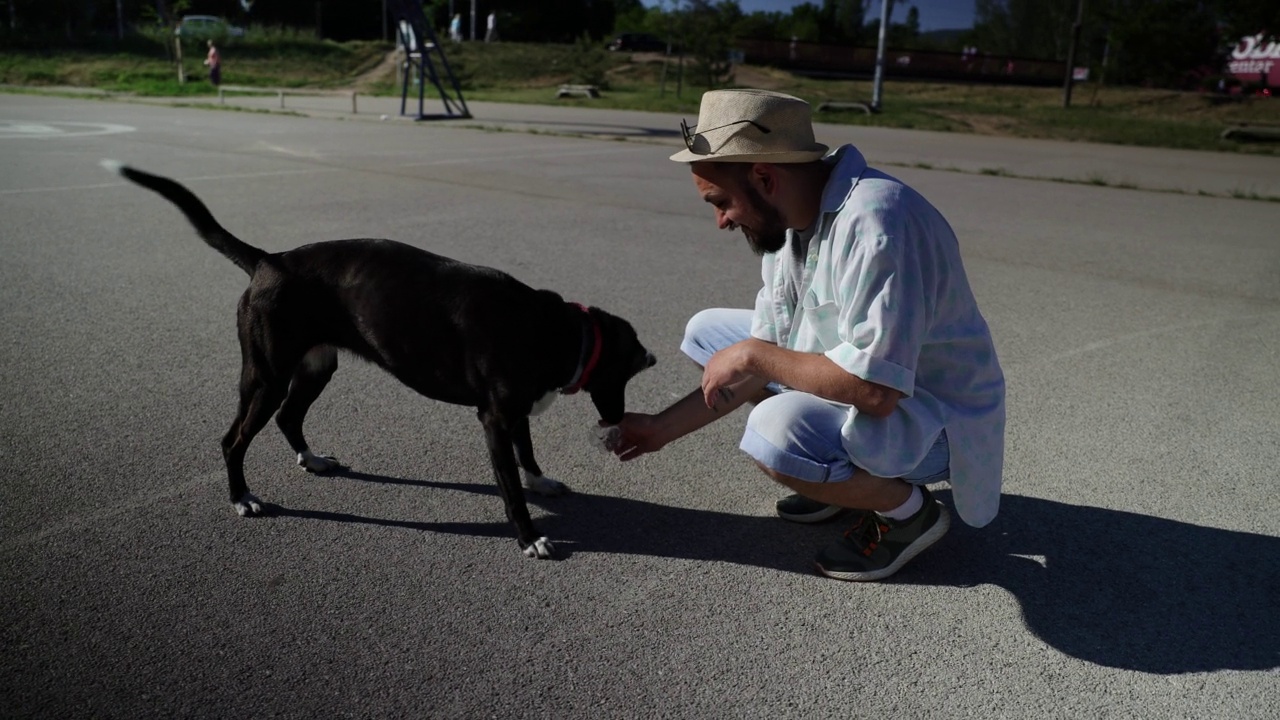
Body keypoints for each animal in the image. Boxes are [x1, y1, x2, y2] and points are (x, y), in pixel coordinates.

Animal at [103, 159, 655, 558]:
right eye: (628, 368)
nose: (652, 359)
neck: (554, 328)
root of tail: (269, 260)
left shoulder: (516, 412)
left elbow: (528, 453)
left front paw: (540, 480)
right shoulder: (496, 418)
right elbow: (511, 487)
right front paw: (529, 537)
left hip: (316, 366)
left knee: (289, 416)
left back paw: (310, 459)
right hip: (266, 375)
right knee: (232, 439)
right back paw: (242, 498)